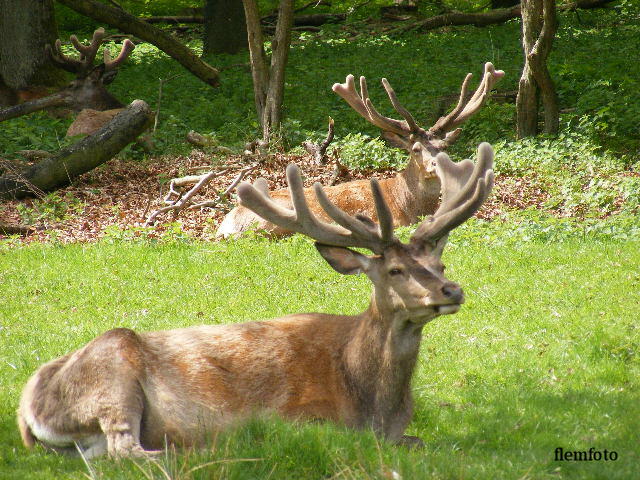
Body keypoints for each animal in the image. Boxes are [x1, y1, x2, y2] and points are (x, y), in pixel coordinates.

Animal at [16, 142, 496, 458]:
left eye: (441, 264)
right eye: (395, 270)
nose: (452, 291)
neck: (374, 401)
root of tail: (26, 408)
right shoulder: (298, 414)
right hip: (112, 377)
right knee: (127, 449)